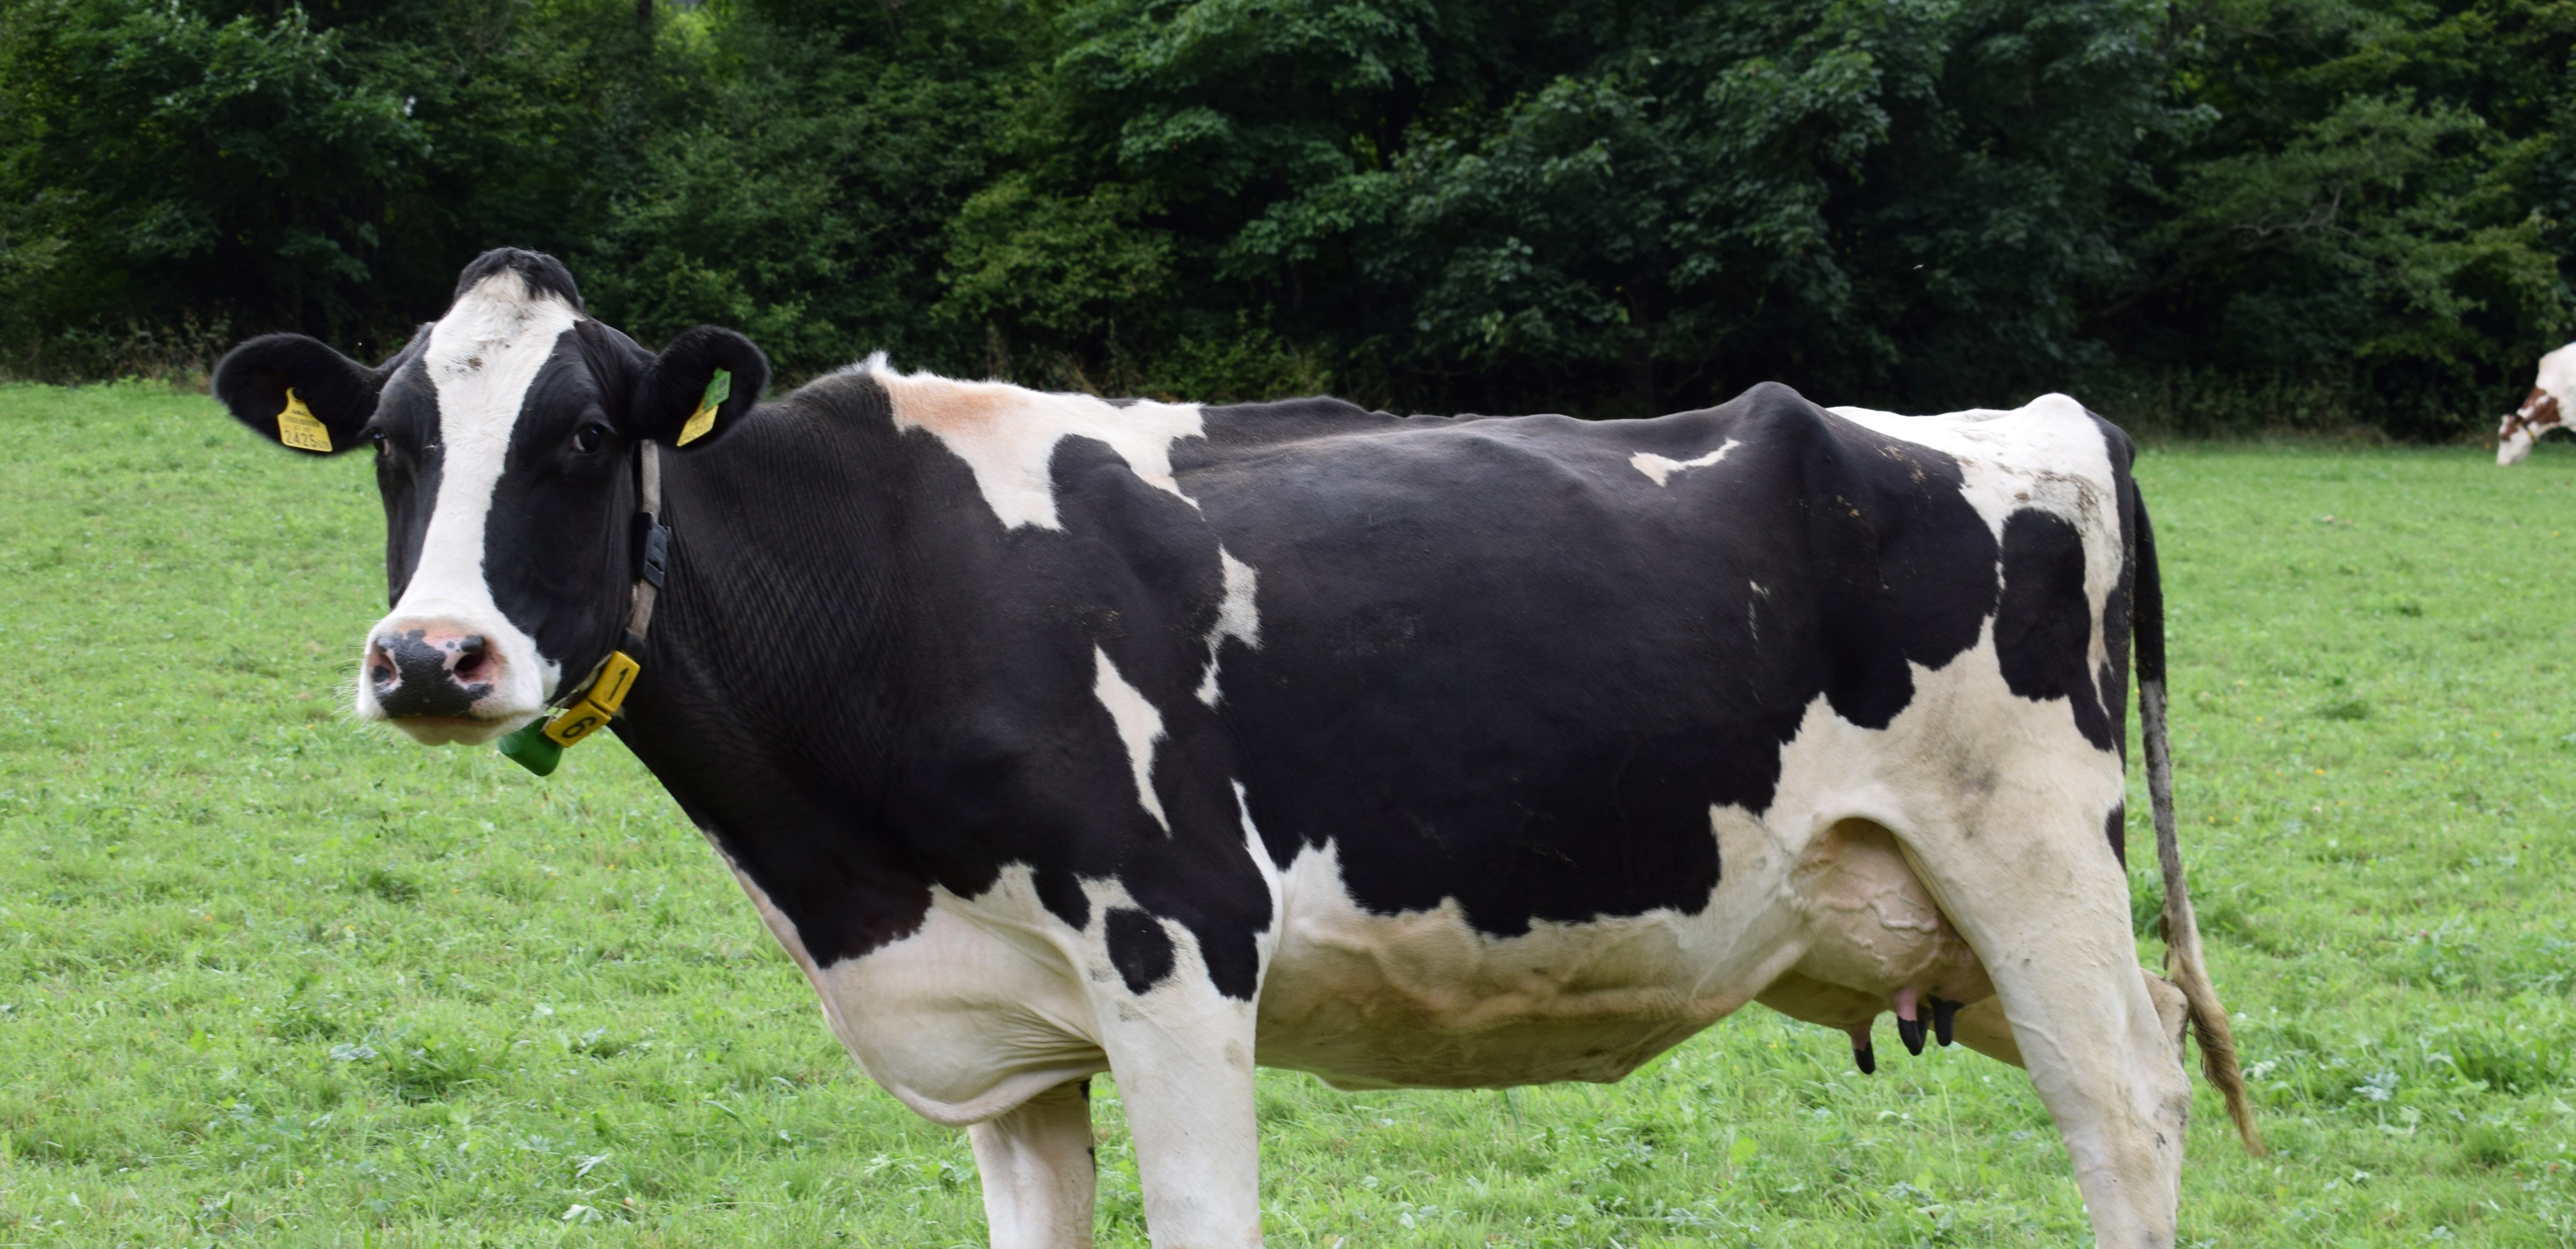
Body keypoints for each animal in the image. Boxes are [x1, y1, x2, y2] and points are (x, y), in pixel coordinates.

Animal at [211, 248, 2258, 1249]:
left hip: (2039, 878)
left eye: (580, 439)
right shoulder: (1009, 1033)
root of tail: (2039, 418)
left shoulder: (1178, 949)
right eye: (396, 442)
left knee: (2126, 1116)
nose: (430, 655)